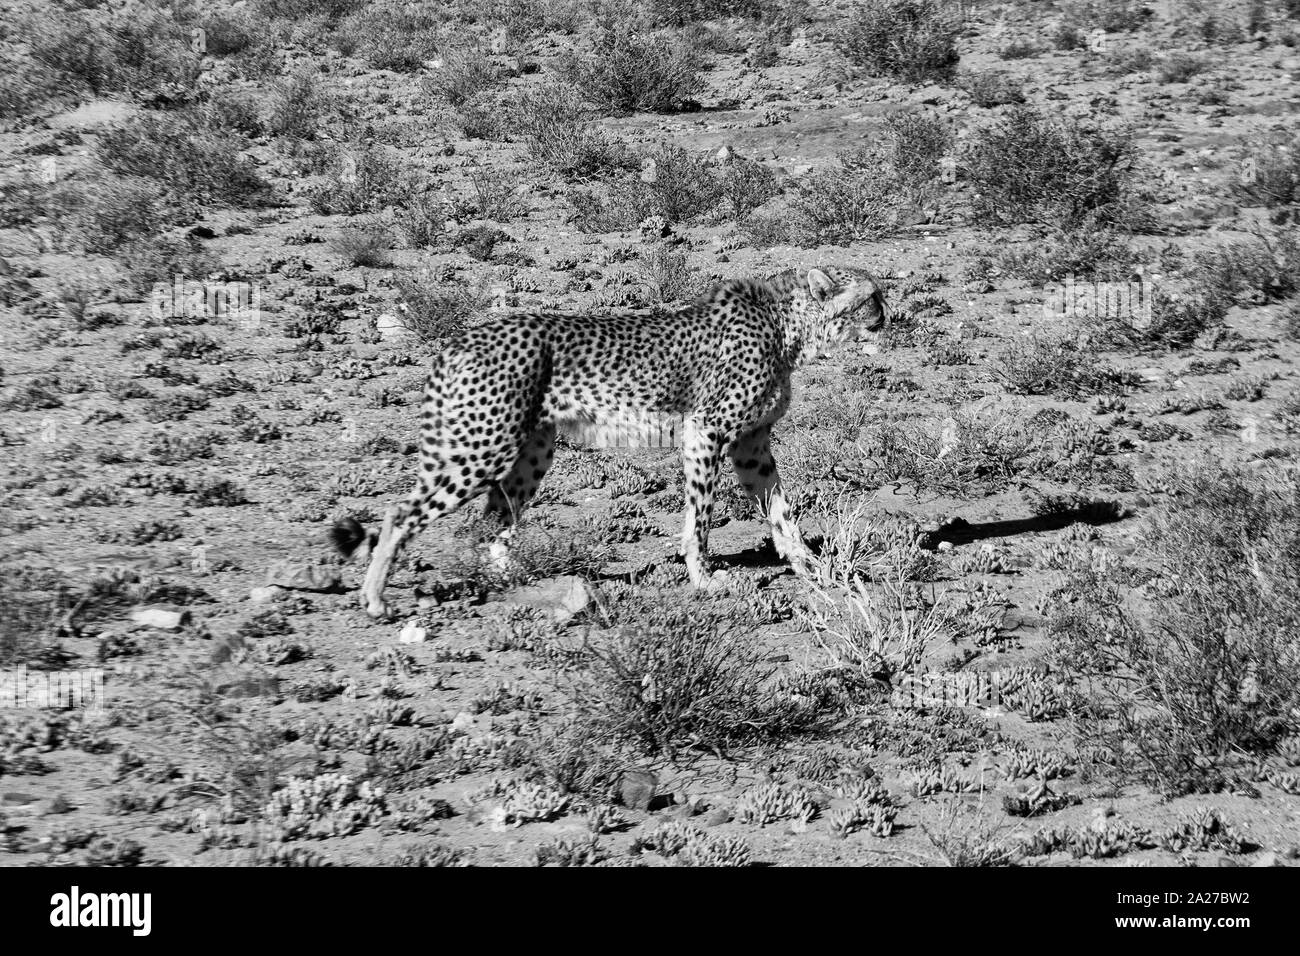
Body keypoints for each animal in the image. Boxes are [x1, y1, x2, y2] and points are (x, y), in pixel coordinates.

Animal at [330, 265, 891, 618]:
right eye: (870, 297)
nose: (888, 315)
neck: (786, 324)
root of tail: (458, 338)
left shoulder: (751, 445)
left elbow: (782, 512)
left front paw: (813, 567)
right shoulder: (705, 432)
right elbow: (700, 519)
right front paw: (705, 579)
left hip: (531, 451)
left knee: (492, 521)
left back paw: (518, 582)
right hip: (481, 446)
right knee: (401, 513)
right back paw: (375, 598)